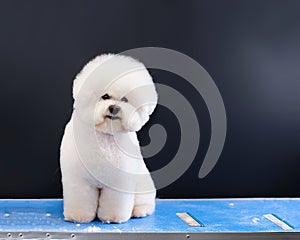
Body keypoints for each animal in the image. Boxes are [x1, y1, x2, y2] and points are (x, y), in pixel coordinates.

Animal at [59, 54, 157, 223]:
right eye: (105, 96)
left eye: (125, 100)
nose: (114, 108)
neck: (104, 138)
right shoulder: (79, 180)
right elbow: (81, 199)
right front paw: (78, 216)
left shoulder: (118, 181)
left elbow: (115, 202)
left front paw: (113, 217)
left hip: (142, 185)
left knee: (145, 202)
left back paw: (139, 211)